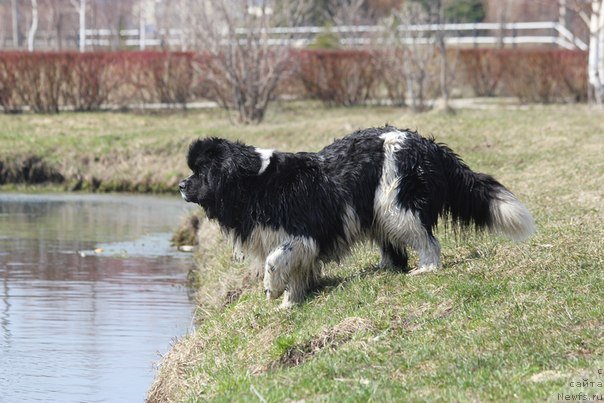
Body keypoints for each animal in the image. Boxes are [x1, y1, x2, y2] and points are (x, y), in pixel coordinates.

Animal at [179, 128, 532, 308]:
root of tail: (430, 146)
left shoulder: (304, 232)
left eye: (200, 172)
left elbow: (275, 260)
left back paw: (425, 269)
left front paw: (273, 291)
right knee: (395, 248)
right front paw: (291, 302)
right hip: (379, 212)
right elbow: (294, 271)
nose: (181, 185)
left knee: (429, 242)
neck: (256, 182)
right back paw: (384, 269)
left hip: (395, 204)